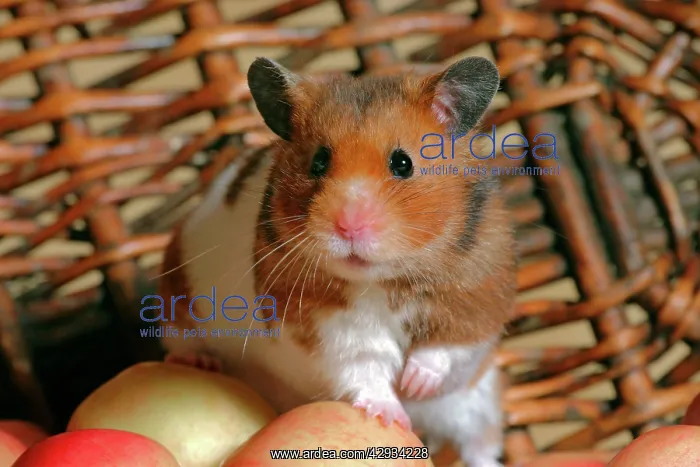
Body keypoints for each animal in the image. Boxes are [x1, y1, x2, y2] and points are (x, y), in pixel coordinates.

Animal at [157, 56, 516, 467]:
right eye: (318, 162)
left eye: (403, 163)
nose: (348, 227)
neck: (382, 281)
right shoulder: (327, 329)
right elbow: (364, 368)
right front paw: (391, 416)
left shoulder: (477, 298)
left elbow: (447, 348)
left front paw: (414, 384)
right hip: (177, 295)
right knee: (177, 337)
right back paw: (200, 362)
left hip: (476, 402)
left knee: (480, 443)